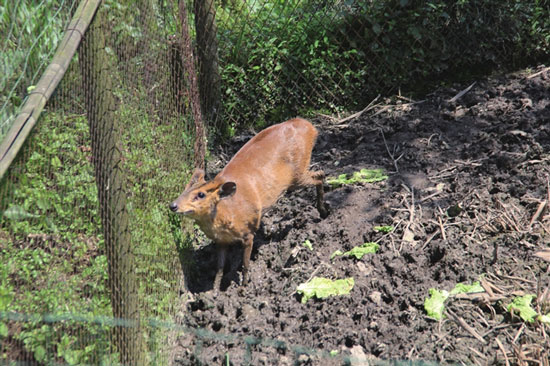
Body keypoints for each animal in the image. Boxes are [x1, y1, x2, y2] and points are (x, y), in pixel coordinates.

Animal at [169, 118, 328, 290]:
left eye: (201, 194)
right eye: (184, 190)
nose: (173, 205)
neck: (227, 214)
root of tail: (309, 126)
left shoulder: (248, 232)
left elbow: (245, 263)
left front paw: (244, 286)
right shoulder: (221, 241)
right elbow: (219, 269)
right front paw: (215, 290)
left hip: (298, 173)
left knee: (320, 174)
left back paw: (323, 212)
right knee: (320, 173)